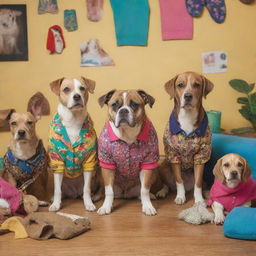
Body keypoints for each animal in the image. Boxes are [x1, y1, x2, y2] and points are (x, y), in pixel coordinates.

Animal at [48, 76, 101, 212]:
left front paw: (88, 204)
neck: (73, 120)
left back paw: (94, 196)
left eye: (82, 88)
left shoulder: (89, 162)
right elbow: (57, 190)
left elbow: (86, 189)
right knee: (61, 190)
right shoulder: (57, 162)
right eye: (66, 89)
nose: (77, 96)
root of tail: (74, 193)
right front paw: (56, 204)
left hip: (96, 174)